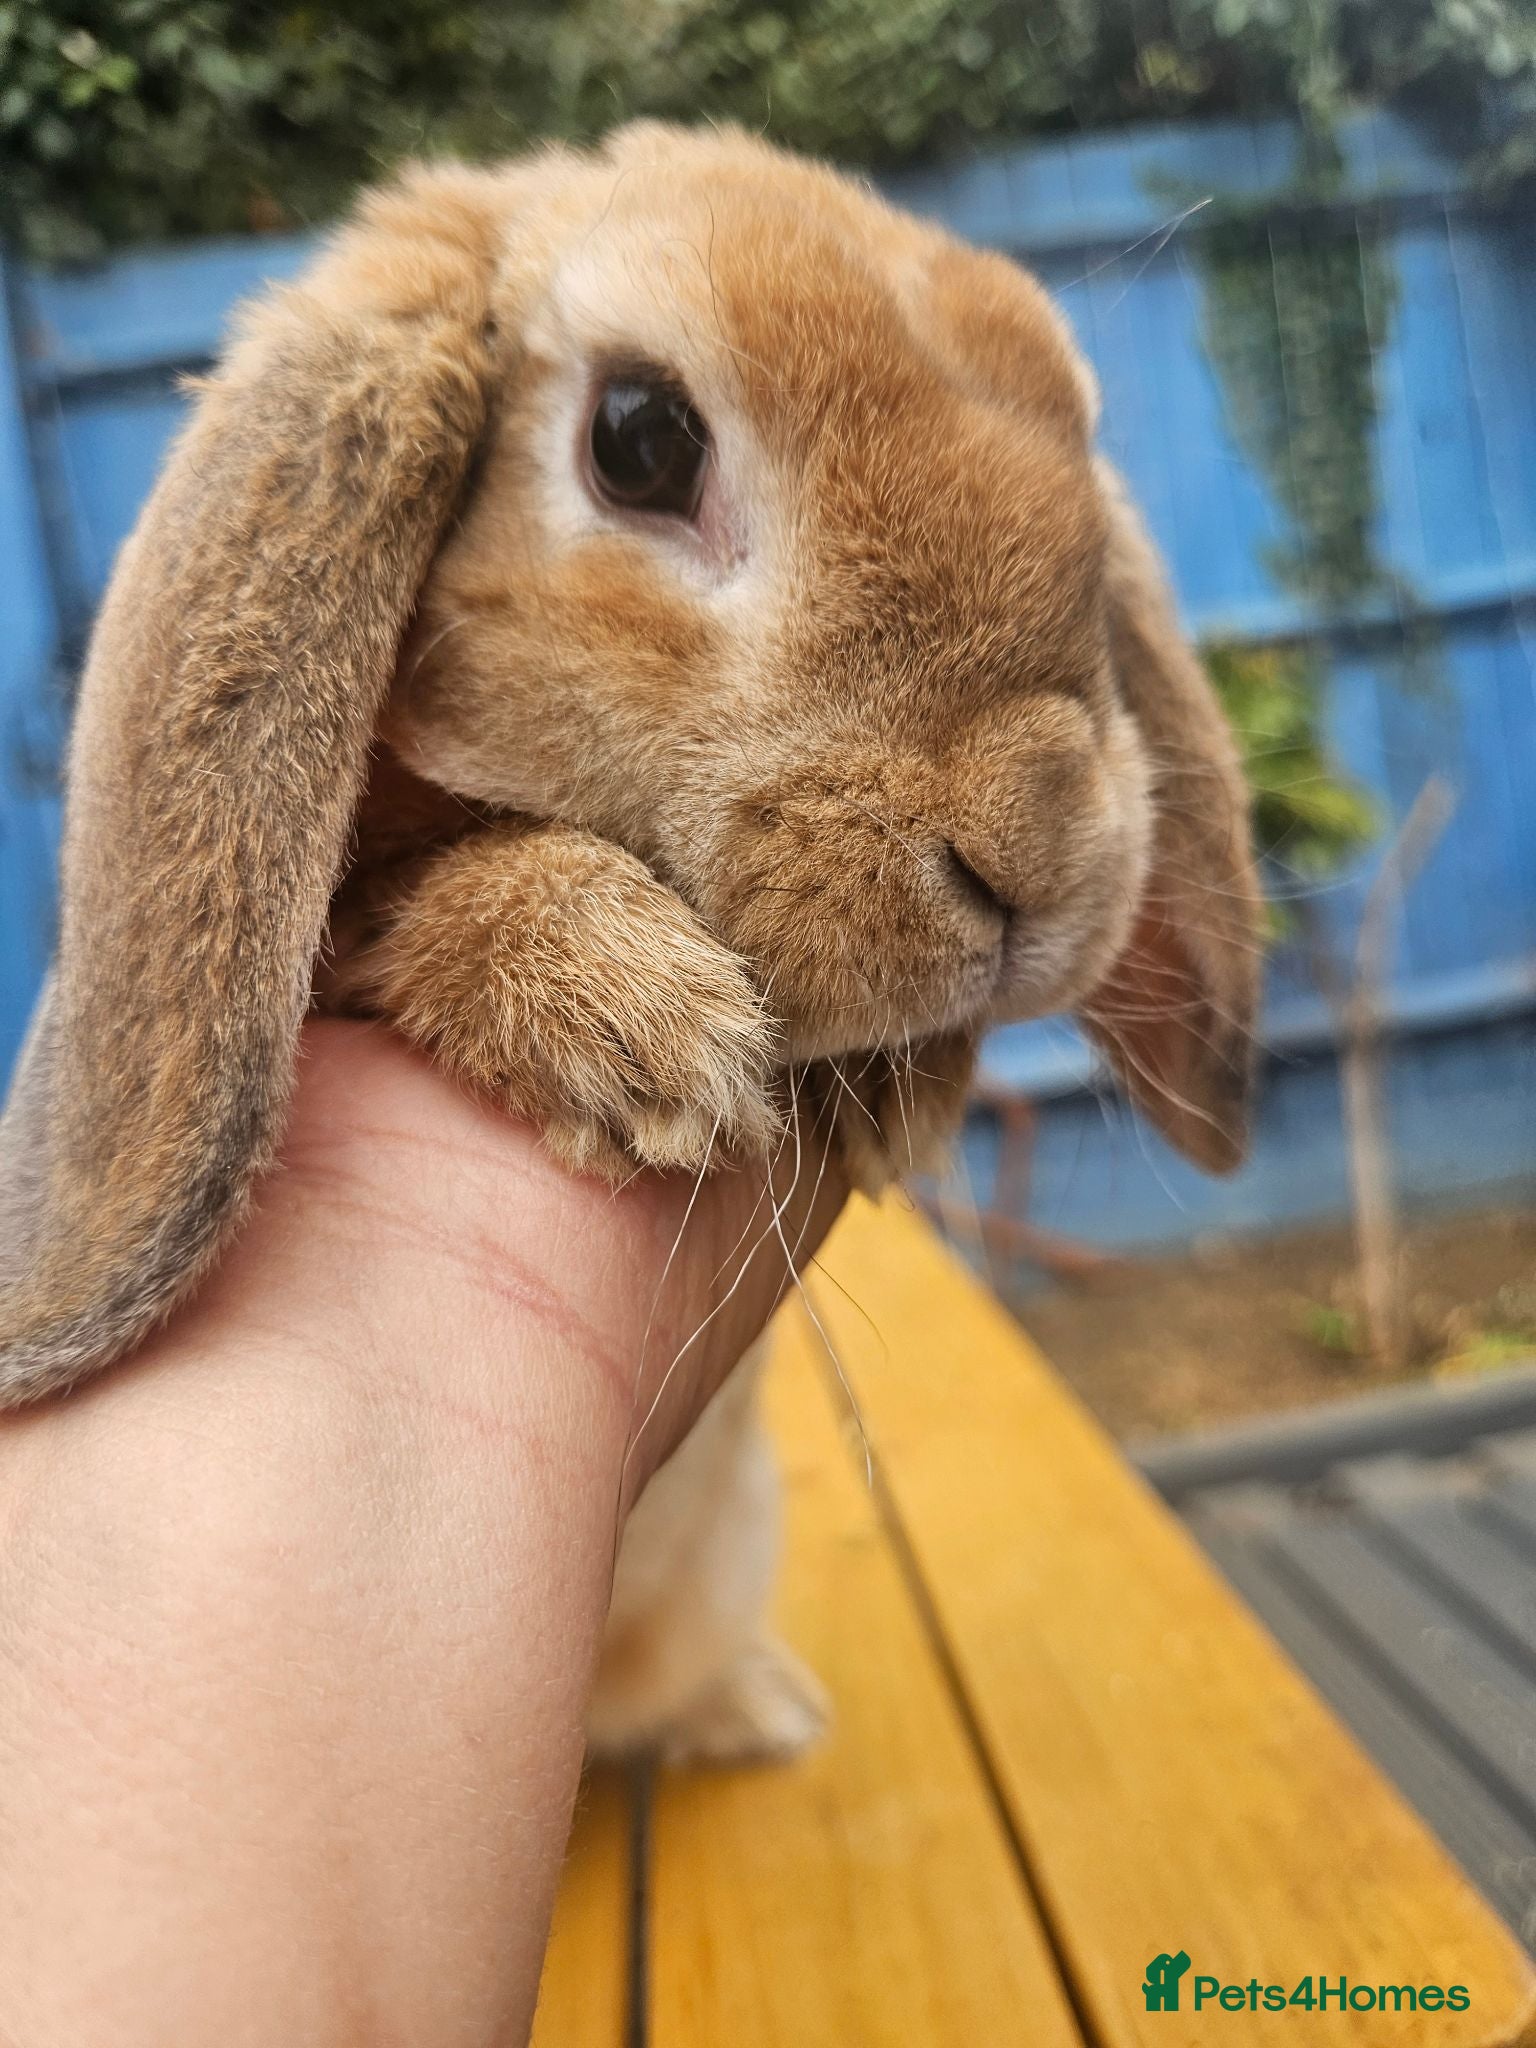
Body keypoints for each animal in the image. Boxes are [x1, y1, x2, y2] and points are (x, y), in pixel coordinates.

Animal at [0, 124, 1261, 1762]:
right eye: (642, 442)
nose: (1042, 844)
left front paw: (891, 1084)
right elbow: (405, 895)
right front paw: (633, 1024)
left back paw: (760, 1711)